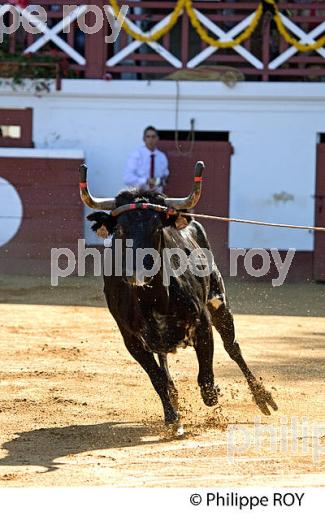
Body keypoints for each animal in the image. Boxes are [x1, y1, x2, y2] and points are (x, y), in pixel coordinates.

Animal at [80, 164, 276, 430]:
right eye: (120, 229)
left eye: (156, 227)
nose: (137, 271)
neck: (153, 299)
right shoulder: (131, 339)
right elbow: (157, 378)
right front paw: (172, 417)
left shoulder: (202, 324)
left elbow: (206, 380)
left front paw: (212, 394)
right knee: (164, 362)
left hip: (220, 303)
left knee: (232, 347)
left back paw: (262, 396)